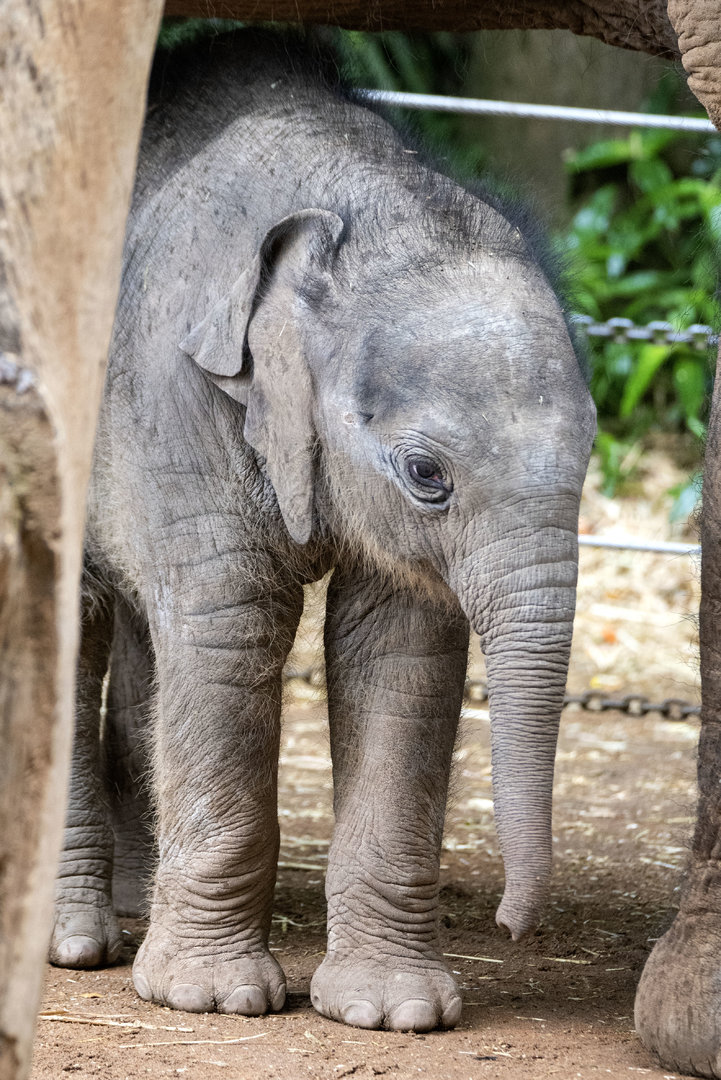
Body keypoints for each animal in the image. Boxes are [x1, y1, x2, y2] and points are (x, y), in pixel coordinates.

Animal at [48, 31, 595, 1033]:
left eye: (590, 446)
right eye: (426, 474)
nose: (513, 925)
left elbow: (401, 649)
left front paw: (391, 1011)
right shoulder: (174, 385)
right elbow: (232, 631)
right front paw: (212, 999)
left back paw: (139, 909)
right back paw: (75, 944)